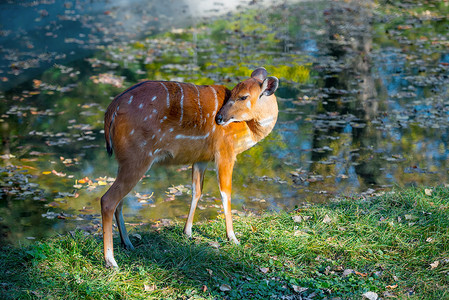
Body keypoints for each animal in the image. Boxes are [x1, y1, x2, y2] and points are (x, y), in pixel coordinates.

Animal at [100, 67, 278, 266]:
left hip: (125, 160)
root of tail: (111, 110)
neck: (248, 129)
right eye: (234, 93)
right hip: (138, 157)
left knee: (119, 201)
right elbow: (226, 194)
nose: (219, 118)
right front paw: (233, 238)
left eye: (243, 96)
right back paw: (111, 261)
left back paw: (128, 244)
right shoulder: (225, 151)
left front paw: (187, 232)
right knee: (108, 200)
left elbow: (196, 191)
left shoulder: (202, 158)